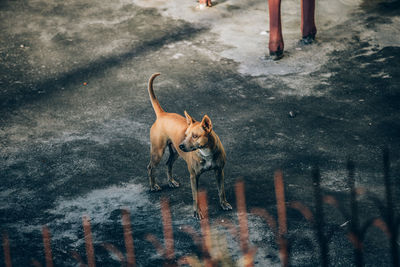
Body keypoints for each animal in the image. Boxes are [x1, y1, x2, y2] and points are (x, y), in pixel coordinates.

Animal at [146, 72, 231, 219]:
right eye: (185, 134)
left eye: (195, 136)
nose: (181, 145)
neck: (205, 152)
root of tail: (162, 114)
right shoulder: (194, 176)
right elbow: (195, 197)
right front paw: (197, 212)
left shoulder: (219, 171)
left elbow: (221, 190)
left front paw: (224, 204)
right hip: (158, 151)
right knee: (151, 167)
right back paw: (153, 186)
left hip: (175, 153)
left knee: (168, 164)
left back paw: (171, 181)